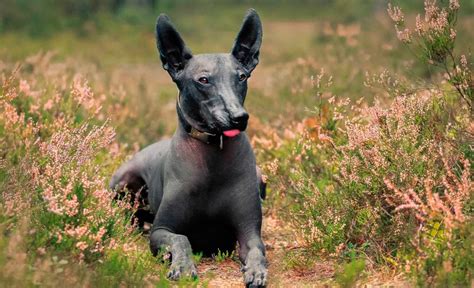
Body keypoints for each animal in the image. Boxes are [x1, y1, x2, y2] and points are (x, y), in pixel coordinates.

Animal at [109, 9, 268, 288]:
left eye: (241, 77)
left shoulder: (248, 230)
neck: (213, 152)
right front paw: (182, 265)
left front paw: (256, 271)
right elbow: (181, 239)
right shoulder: (161, 231)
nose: (239, 117)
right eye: (203, 80)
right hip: (123, 181)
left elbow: (257, 250)